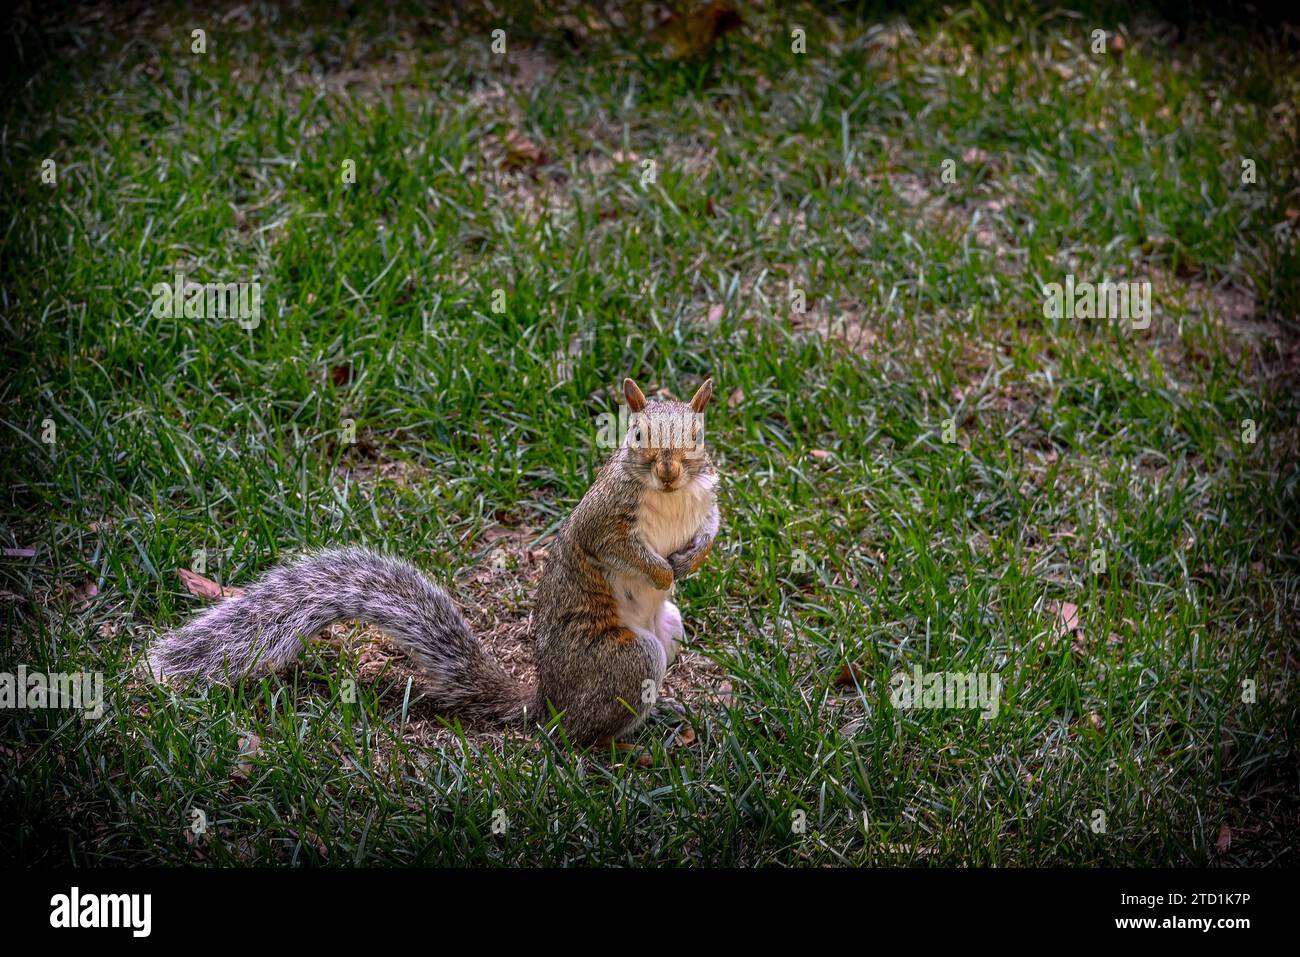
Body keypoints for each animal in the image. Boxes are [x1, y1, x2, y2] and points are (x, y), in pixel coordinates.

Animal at [149, 377, 733, 748]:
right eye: (636, 435)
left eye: (698, 438)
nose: (668, 472)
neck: (670, 497)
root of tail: (547, 702)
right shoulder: (603, 518)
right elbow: (616, 548)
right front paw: (662, 570)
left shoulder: (706, 501)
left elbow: (711, 528)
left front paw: (690, 559)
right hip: (627, 660)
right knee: (576, 738)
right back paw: (621, 747)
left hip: (669, 630)